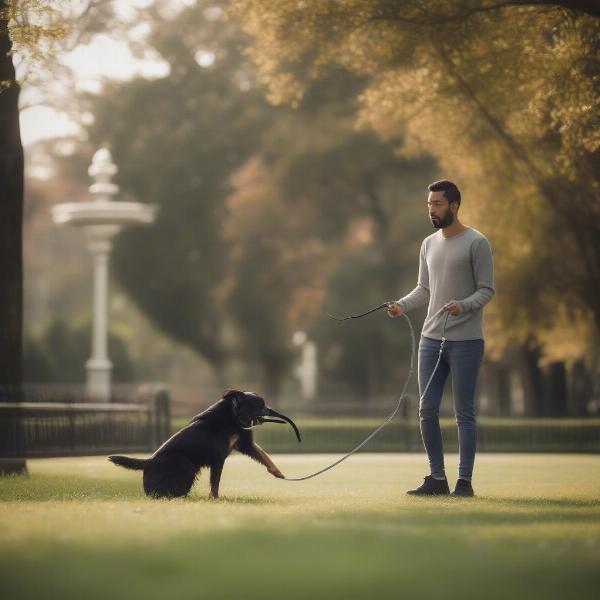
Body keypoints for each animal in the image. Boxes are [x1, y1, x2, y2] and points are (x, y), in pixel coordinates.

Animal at [108, 390, 300, 496]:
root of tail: (149, 461)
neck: (232, 416)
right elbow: (215, 481)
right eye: (259, 405)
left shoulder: (244, 444)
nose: (270, 410)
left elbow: (263, 454)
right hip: (185, 464)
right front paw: (214, 499)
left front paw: (277, 472)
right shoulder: (219, 458)